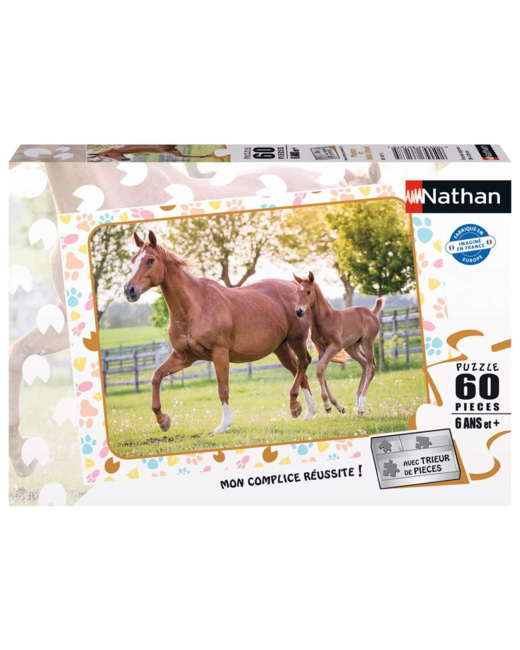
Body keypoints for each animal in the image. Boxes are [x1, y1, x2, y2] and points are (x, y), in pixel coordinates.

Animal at [123, 230, 318, 434]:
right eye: (133, 259)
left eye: (150, 260)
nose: (129, 290)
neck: (195, 305)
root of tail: (296, 288)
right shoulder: (184, 356)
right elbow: (156, 376)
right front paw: (163, 420)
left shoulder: (220, 353)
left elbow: (222, 389)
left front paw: (224, 425)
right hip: (281, 348)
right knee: (298, 370)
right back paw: (306, 411)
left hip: (297, 340)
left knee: (304, 363)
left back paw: (297, 406)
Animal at [293, 272, 384, 417]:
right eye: (297, 291)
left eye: (308, 291)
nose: (299, 311)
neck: (324, 319)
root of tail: (371, 312)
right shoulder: (322, 349)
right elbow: (321, 371)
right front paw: (337, 406)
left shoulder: (334, 346)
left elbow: (320, 368)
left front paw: (327, 406)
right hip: (352, 347)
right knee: (364, 363)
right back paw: (358, 403)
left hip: (367, 342)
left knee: (371, 367)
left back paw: (361, 406)